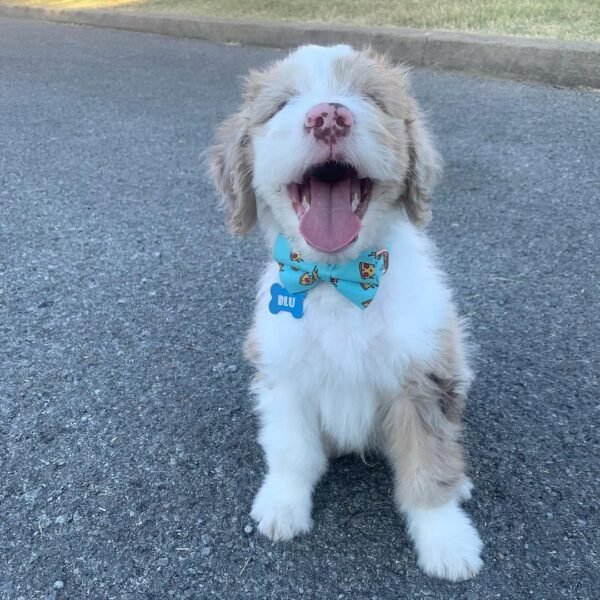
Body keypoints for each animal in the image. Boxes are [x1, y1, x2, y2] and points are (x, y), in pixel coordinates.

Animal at [210, 44, 482, 580]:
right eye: (282, 104)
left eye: (372, 98)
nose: (329, 117)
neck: (339, 282)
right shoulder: (284, 372)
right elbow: (291, 449)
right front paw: (282, 505)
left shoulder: (423, 377)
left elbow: (429, 461)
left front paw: (447, 540)